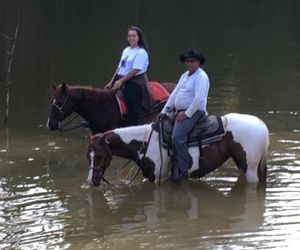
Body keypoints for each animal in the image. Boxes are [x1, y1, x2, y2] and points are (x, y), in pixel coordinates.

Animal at [85, 112, 268, 187]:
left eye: (100, 155)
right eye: (88, 156)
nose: (91, 182)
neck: (145, 142)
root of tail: (261, 124)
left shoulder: (158, 178)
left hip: (250, 169)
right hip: (242, 166)